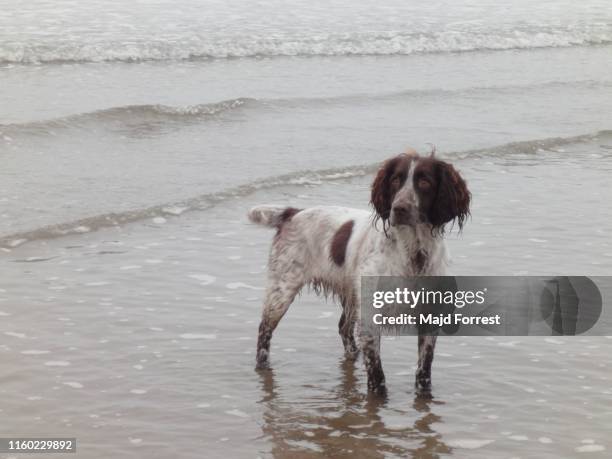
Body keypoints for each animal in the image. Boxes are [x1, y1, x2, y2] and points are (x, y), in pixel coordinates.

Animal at [246, 151, 470, 396]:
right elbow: (377, 375)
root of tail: (292, 214)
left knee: (343, 327)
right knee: (264, 331)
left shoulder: (429, 317)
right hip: (282, 290)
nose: (399, 208)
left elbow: (424, 370)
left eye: (424, 181)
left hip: (352, 294)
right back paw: (263, 366)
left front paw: (423, 396)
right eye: (395, 180)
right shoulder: (371, 316)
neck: (414, 253)